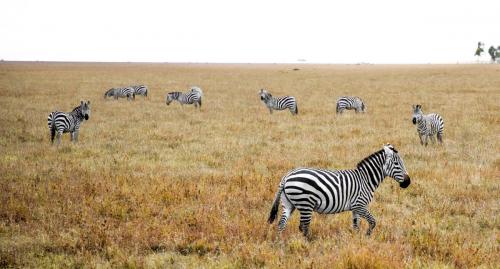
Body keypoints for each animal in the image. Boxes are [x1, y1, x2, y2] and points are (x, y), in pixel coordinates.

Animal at [268, 142, 412, 237]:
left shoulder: (355, 208)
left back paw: (280, 243)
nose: (408, 182)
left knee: (281, 224)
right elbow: (372, 222)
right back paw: (307, 243)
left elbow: (356, 225)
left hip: (289, 204)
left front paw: (356, 240)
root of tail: (287, 176)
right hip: (305, 204)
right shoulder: (360, 205)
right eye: (397, 164)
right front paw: (367, 236)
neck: (366, 179)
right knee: (303, 226)